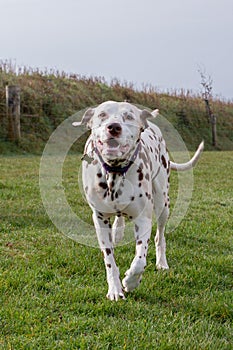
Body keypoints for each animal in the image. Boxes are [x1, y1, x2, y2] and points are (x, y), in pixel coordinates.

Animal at [73, 101, 204, 300]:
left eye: (129, 116)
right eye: (102, 114)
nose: (114, 127)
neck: (114, 171)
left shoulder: (143, 219)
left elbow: (140, 261)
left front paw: (130, 282)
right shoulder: (100, 219)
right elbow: (109, 259)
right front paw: (115, 289)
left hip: (163, 203)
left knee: (160, 236)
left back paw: (162, 262)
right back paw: (118, 232)